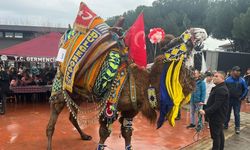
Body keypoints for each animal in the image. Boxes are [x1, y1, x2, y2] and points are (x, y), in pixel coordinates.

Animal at [46, 1, 208, 150]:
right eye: (179, 40)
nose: (201, 32)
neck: (143, 85)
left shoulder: (131, 110)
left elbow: (127, 132)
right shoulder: (110, 105)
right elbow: (104, 133)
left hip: (77, 93)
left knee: (72, 117)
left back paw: (85, 135)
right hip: (60, 88)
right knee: (52, 121)